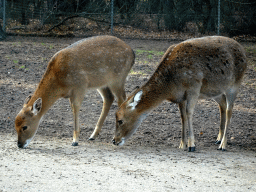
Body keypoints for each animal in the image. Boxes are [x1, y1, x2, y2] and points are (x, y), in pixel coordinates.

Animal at [112, 36, 246, 152]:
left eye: (120, 120)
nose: (114, 140)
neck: (170, 85)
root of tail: (243, 51)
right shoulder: (181, 96)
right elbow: (182, 116)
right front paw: (182, 144)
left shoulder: (194, 88)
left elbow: (189, 113)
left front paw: (192, 145)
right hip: (214, 91)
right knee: (222, 104)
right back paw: (218, 138)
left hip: (235, 84)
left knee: (229, 110)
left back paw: (223, 144)